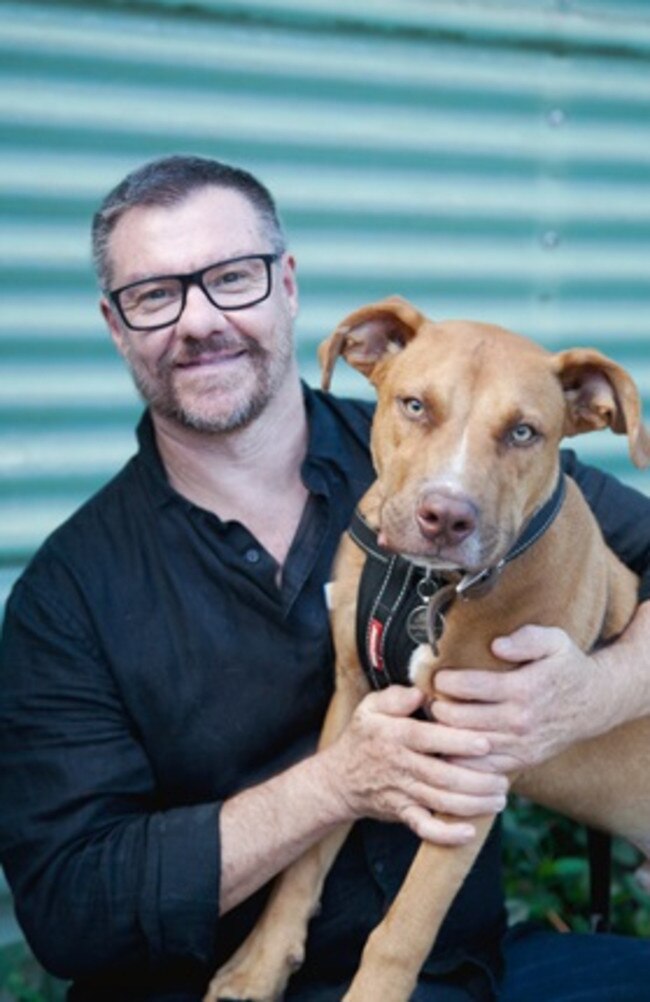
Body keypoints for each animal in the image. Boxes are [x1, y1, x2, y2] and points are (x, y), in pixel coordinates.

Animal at [206, 296, 648, 1002]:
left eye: (524, 432)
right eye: (414, 405)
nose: (446, 516)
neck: (428, 586)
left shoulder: (479, 763)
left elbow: (403, 929)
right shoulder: (352, 701)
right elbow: (305, 857)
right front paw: (258, 967)